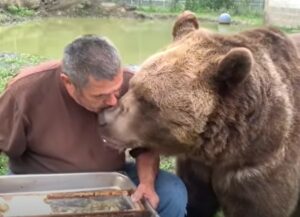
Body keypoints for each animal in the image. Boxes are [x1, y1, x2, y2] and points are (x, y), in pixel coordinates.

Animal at [99, 11, 300, 217]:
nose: (104, 118)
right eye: (132, 86)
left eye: (148, 100)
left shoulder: (260, 168)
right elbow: (196, 201)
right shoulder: (197, 168)